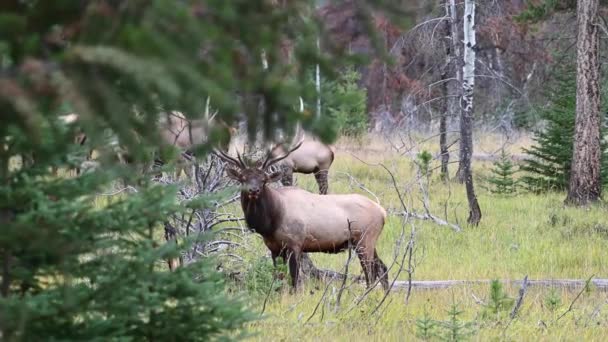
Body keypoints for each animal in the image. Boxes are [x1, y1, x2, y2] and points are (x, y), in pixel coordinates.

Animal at [216, 143, 388, 290]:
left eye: (263, 180)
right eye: (242, 179)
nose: (254, 190)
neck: (272, 221)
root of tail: (383, 212)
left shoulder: (295, 244)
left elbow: (294, 279)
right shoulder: (274, 248)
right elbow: (279, 277)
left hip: (364, 241)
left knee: (370, 272)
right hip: (368, 242)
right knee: (382, 267)